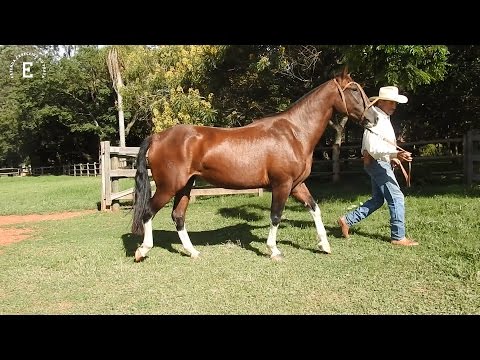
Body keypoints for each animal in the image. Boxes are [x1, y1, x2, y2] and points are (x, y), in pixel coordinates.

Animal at [130, 69, 376, 262]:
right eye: (354, 90)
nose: (373, 118)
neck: (294, 133)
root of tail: (157, 136)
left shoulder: (297, 184)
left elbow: (314, 208)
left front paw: (324, 245)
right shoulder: (282, 184)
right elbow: (276, 215)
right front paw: (274, 250)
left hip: (185, 186)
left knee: (178, 216)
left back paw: (193, 252)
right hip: (168, 187)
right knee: (148, 212)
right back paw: (142, 250)